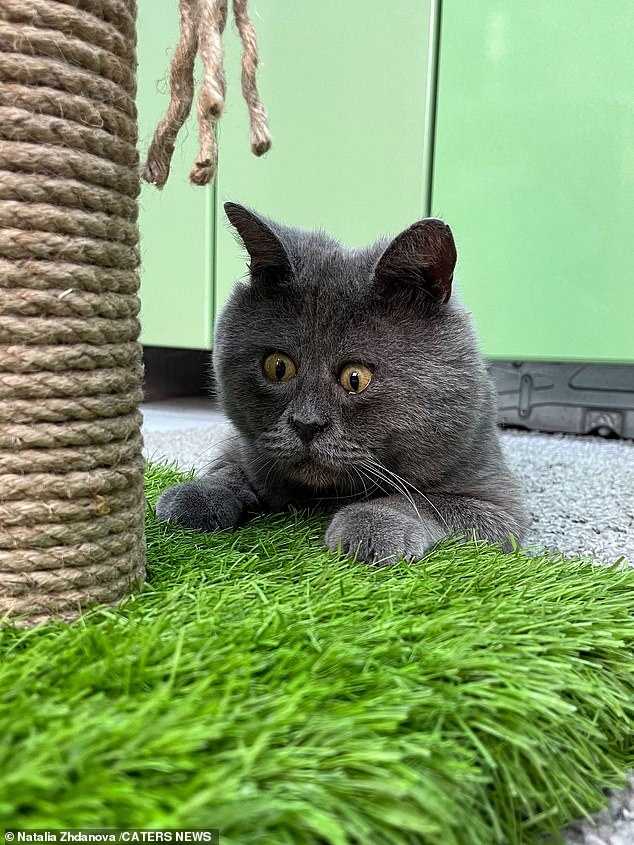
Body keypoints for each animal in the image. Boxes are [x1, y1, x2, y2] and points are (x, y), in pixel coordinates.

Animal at [155, 202, 529, 565]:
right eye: (278, 367)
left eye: (356, 378)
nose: (306, 424)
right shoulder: (242, 446)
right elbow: (230, 467)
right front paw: (199, 495)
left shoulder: (496, 504)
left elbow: (421, 500)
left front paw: (372, 525)